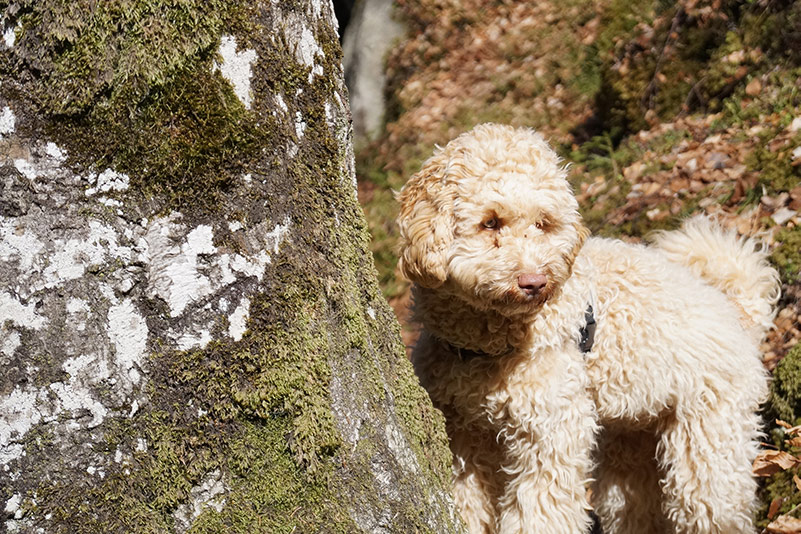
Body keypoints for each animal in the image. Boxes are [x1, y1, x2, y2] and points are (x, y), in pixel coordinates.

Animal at [396, 124, 780, 534]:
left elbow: (540, 513)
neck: (486, 346)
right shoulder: (465, 431)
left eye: (542, 223)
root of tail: (738, 315)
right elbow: (469, 501)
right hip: (632, 446)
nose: (535, 282)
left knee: (713, 504)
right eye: (490, 222)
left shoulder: (550, 432)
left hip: (708, 442)